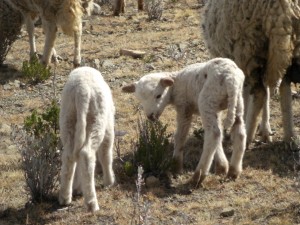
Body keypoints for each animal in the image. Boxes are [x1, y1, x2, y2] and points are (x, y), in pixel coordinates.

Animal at [59, 66, 115, 212]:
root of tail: (81, 91)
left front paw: (78, 187)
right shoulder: (109, 127)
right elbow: (106, 154)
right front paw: (109, 181)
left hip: (68, 118)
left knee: (69, 156)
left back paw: (65, 197)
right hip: (96, 119)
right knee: (86, 154)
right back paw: (92, 203)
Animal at [122, 58, 246, 186]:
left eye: (158, 95)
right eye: (140, 99)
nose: (151, 116)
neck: (175, 84)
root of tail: (230, 78)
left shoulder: (184, 107)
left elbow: (180, 136)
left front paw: (176, 166)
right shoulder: (216, 110)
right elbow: (220, 136)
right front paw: (221, 167)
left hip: (207, 100)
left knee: (213, 134)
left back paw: (198, 177)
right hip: (236, 101)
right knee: (238, 133)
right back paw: (233, 171)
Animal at [202, 0, 300, 144]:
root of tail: (281, 8)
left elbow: (245, 94)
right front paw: (265, 129)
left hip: (248, 48)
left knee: (259, 93)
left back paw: (247, 137)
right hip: (286, 49)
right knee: (284, 87)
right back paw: (289, 137)